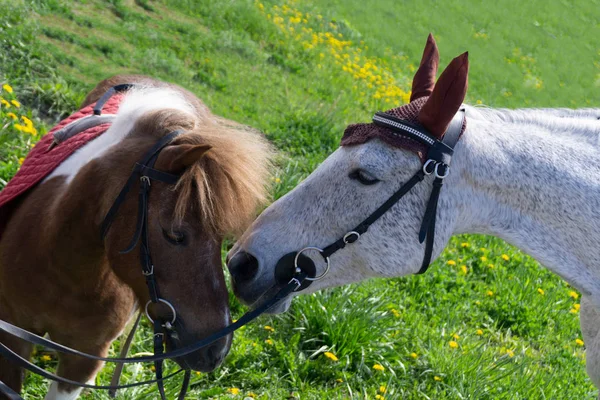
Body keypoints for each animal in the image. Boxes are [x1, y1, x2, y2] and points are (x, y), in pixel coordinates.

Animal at [0, 76, 274, 398]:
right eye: (174, 234)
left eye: (221, 240)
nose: (216, 350)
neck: (61, 268)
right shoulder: (12, 339)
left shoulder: (83, 359)